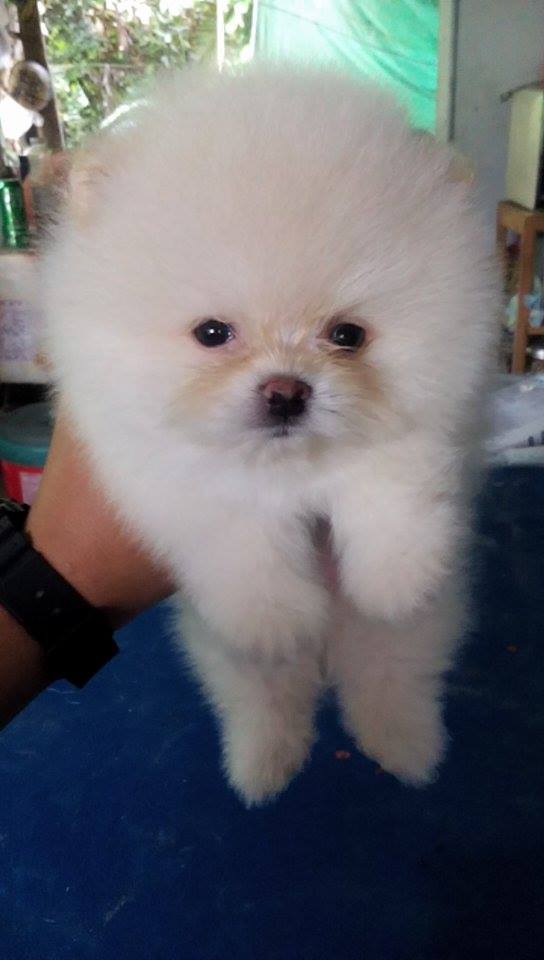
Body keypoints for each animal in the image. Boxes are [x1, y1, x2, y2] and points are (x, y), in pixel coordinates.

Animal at [44, 67, 496, 804]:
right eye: (212, 333)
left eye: (348, 335)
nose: (286, 391)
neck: (290, 467)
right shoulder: (160, 465)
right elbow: (236, 534)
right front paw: (275, 616)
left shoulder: (441, 408)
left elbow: (392, 476)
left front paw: (395, 574)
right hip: (225, 653)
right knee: (266, 693)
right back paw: (265, 759)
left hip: (415, 633)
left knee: (391, 668)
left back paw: (402, 744)